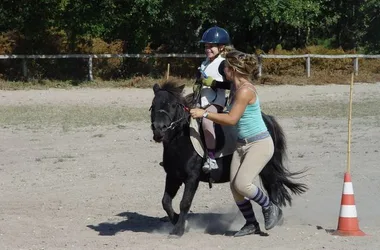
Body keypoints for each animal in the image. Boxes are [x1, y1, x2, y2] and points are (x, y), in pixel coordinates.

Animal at [150, 80, 308, 236]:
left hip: (267, 168)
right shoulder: (173, 176)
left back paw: (274, 217)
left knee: (273, 188)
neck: (180, 140)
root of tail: (267, 118)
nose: (159, 130)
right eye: (153, 105)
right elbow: (166, 202)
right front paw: (178, 221)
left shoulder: (192, 178)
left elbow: (185, 203)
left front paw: (179, 229)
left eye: (173, 105)